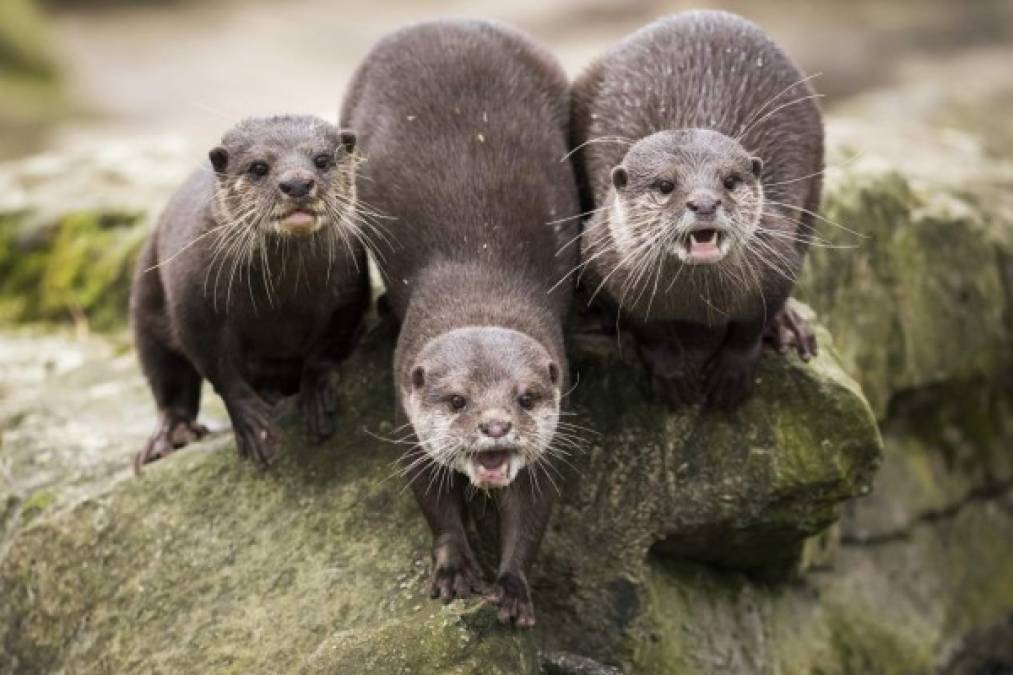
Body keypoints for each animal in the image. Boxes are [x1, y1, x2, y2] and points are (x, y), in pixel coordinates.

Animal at [128, 113, 370, 468]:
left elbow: (331, 343)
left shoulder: (349, 290)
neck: (280, 301)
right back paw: (169, 436)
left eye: (322, 160)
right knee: (166, 377)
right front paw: (253, 423)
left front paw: (315, 390)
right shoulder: (193, 305)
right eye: (258, 167)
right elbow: (217, 366)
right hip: (146, 298)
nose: (297, 184)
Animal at [340, 17, 579, 624]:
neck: (481, 283)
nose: (494, 426)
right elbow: (432, 497)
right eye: (455, 400)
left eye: (525, 398)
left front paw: (512, 588)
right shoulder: (406, 413)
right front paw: (453, 570)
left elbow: (532, 508)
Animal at [571, 10, 822, 407]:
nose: (704, 202)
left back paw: (790, 325)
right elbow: (642, 324)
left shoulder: (780, 260)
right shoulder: (602, 258)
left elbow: (753, 324)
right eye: (665, 185)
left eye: (730, 181)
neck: (698, 306)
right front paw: (671, 370)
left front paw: (733, 370)